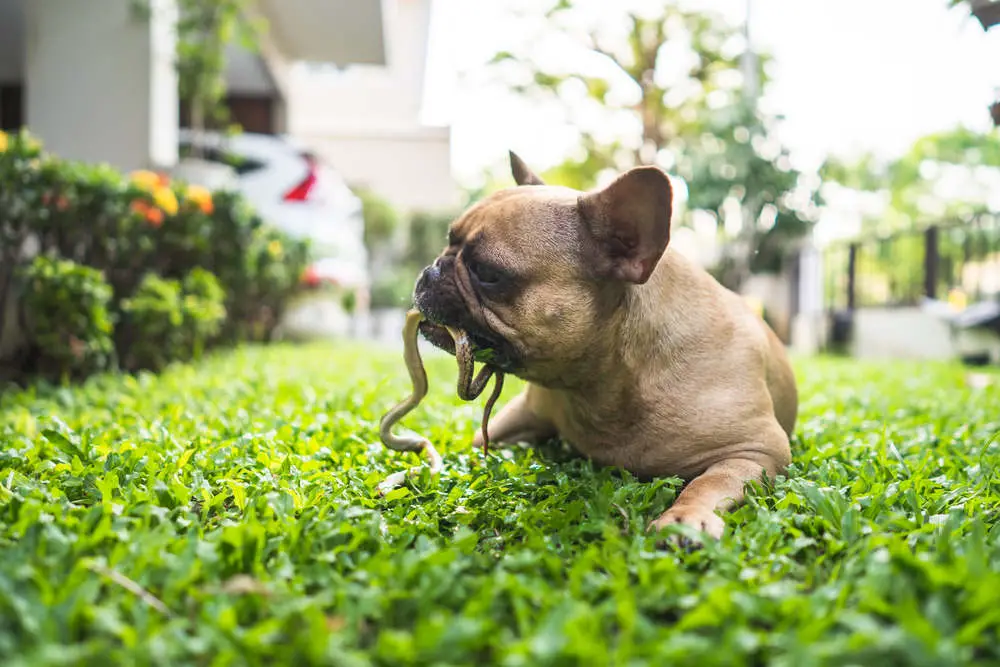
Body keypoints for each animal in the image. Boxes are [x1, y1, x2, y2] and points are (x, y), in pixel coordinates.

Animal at [412, 154, 796, 540]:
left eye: (487, 272)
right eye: (448, 240)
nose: (430, 271)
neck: (607, 377)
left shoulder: (756, 451)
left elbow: (710, 481)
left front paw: (685, 518)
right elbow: (478, 442)